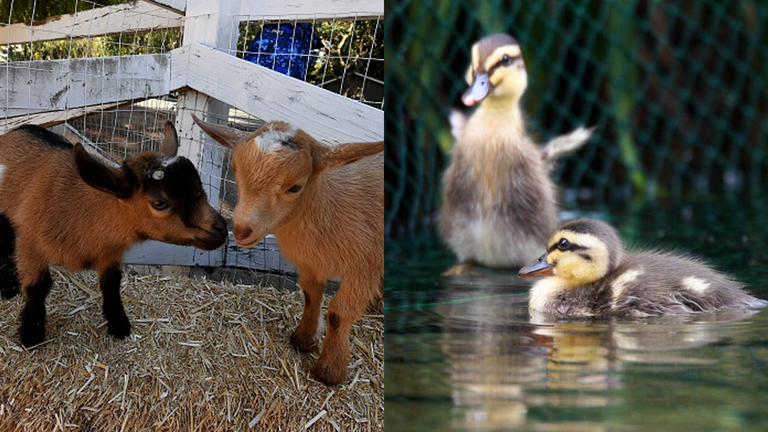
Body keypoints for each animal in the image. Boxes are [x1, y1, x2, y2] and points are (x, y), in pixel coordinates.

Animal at [0, 122, 228, 348]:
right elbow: (38, 286)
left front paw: (119, 325)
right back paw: (9, 288)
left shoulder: (109, 250)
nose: (221, 229)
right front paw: (31, 333)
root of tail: (20, 128)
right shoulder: (30, 243)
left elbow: (111, 283)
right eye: (159, 203)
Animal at [192, 115, 384, 384]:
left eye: (295, 187)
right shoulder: (311, 264)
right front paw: (303, 340)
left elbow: (338, 313)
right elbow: (310, 295)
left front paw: (329, 370)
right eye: (235, 169)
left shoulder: (363, 267)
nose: (241, 229)